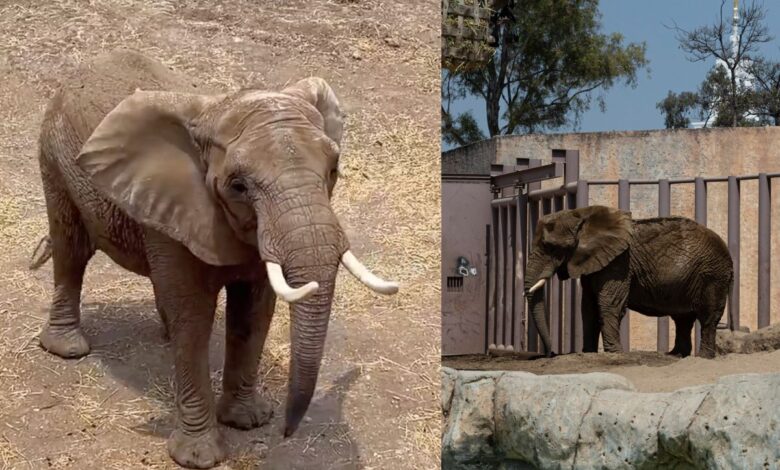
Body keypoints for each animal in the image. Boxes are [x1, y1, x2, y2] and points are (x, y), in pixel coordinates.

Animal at [29, 49, 398, 468]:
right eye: (238, 186)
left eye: (333, 169)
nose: (286, 432)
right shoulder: (177, 202)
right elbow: (193, 315)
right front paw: (199, 456)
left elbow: (254, 310)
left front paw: (248, 421)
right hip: (53, 154)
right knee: (71, 248)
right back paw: (68, 348)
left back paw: (164, 333)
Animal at [522, 205, 733, 359]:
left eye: (551, 247)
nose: (551, 353)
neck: (582, 216)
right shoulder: (594, 263)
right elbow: (588, 307)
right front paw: (589, 353)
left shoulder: (619, 263)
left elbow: (608, 304)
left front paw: (614, 353)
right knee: (683, 319)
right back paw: (675, 356)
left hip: (713, 275)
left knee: (707, 317)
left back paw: (703, 357)